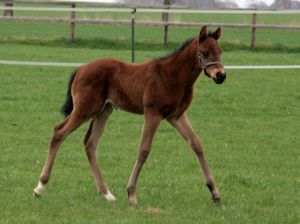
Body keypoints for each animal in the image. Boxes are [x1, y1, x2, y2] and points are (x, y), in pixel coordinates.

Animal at [33, 25, 225, 205]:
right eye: (205, 53)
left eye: (220, 51)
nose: (221, 75)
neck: (172, 76)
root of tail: (81, 69)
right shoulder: (153, 113)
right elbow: (144, 149)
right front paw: (131, 194)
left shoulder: (176, 116)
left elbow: (197, 145)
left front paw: (215, 194)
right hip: (84, 110)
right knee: (59, 132)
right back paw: (40, 187)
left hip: (103, 111)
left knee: (90, 144)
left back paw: (106, 193)